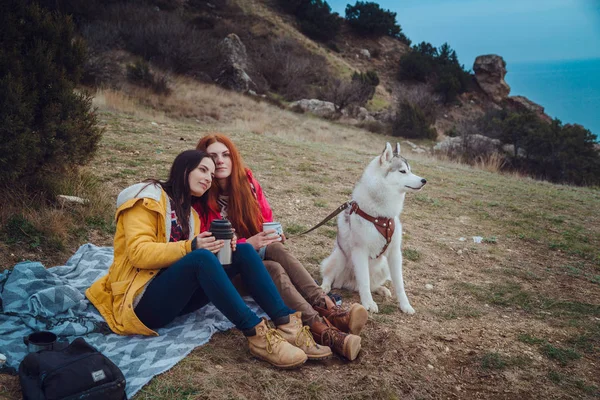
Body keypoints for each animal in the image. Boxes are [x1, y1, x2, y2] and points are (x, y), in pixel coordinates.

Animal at [318, 142, 426, 314]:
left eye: (410, 170)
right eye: (402, 171)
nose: (424, 180)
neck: (381, 216)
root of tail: (348, 283)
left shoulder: (395, 254)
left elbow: (399, 284)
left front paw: (405, 305)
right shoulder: (360, 251)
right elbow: (364, 281)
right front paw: (368, 303)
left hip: (383, 266)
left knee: (370, 284)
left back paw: (381, 289)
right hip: (340, 257)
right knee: (330, 275)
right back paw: (325, 287)